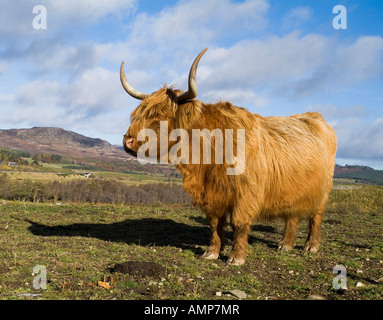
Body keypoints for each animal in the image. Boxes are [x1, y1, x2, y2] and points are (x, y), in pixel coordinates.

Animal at [120, 48, 336, 264]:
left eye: (160, 116)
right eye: (138, 114)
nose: (128, 141)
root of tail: (316, 117)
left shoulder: (245, 193)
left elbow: (239, 223)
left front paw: (236, 257)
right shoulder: (212, 194)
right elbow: (215, 224)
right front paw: (211, 252)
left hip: (323, 190)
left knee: (316, 215)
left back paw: (311, 245)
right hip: (294, 187)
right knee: (293, 214)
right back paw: (286, 244)